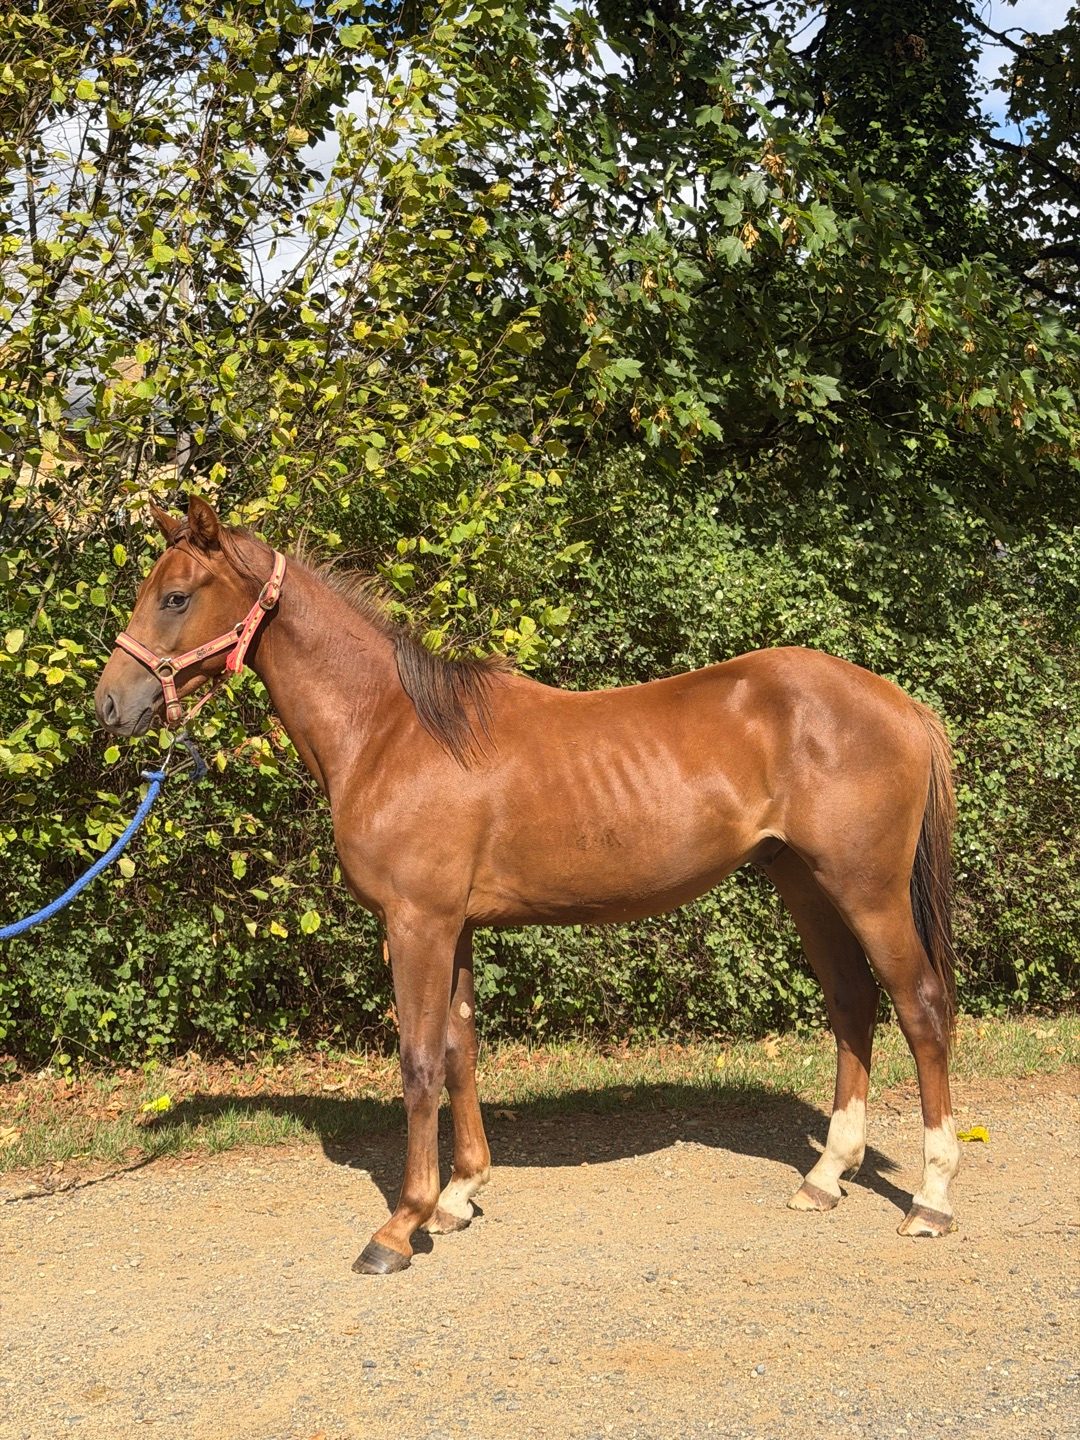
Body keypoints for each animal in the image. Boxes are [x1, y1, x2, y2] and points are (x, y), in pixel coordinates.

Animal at [95, 496, 960, 1274]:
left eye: (176, 597)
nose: (110, 704)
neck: (391, 730)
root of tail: (902, 705)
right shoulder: (455, 926)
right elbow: (460, 1048)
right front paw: (458, 1196)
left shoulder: (417, 923)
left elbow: (418, 1062)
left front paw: (400, 1227)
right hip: (806, 884)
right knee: (852, 1002)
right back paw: (825, 1178)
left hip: (867, 890)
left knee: (919, 1008)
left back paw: (932, 1199)